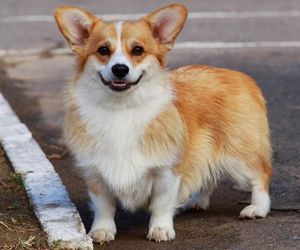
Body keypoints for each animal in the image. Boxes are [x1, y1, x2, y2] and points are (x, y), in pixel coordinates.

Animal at [54, 3, 272, 244]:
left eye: (138, 50)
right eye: (103, 50)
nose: (120, 69)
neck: (122, 108)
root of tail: (242, 77)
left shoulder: (167, 171)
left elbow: (161, 204)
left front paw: (160, 229)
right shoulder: (96, 174)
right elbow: (104, 206)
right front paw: (102, 230)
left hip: (238, 155)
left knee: (260, 176)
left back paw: (257, 208)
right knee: (207, 176)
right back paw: (196, 201)